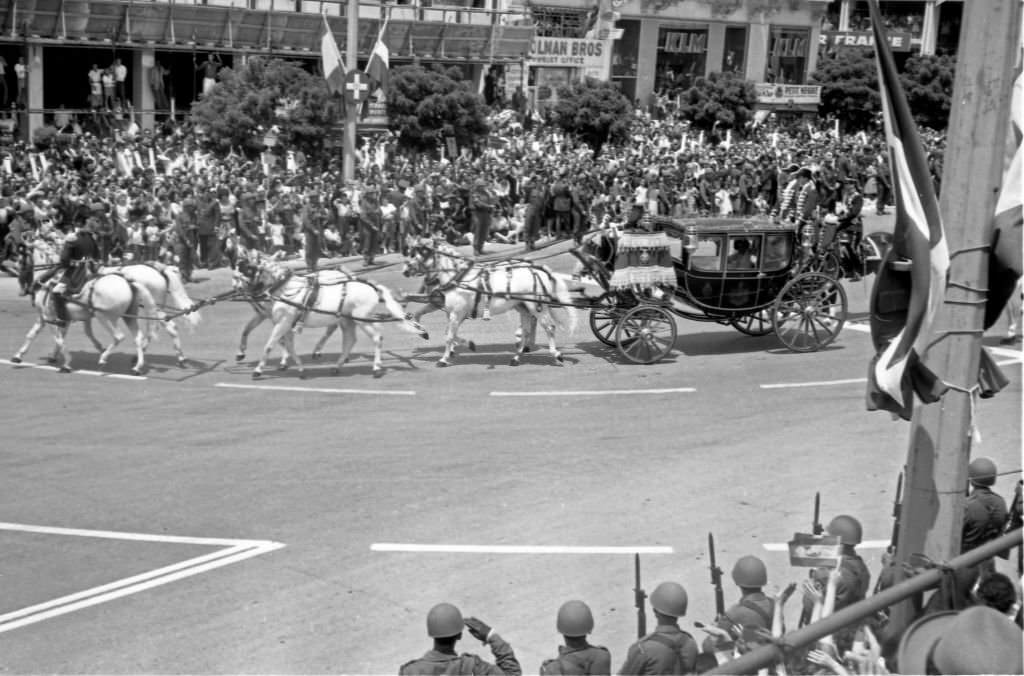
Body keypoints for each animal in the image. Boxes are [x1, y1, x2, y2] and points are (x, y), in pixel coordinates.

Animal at [12, 272, 159, 374]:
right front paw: (18, 356)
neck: (45, 288)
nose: (22, 291)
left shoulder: (50, 320)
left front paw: (67, 363)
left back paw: (104, 358)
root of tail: (128, 282)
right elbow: (32, 335)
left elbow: (59, 340)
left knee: (118, 336)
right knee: (138, 338)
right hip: (128, 317)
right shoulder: (53, 319)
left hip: (104, 317)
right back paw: (137, 367)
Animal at [234, 255, 428, 376]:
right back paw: (337, 365)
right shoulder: (284, 323)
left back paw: (376, 368)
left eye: (246, 270)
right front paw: (298, 367)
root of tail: (371, 286)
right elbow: (286, 345)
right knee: (350, 340)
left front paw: (258, 370)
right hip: (348, 319)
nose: (238, 291)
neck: (286, 289)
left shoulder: (283, 322)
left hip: (361, 318)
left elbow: (269, 345)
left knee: (377, 337)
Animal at [401, 237, 577, 364]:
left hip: (535, 305)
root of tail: (538, 271)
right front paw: (463, 345)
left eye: (422, 251)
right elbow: (449, 333)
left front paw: (443, 359)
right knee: (527, 330)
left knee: (549, 327)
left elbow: (449, 335)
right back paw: (516, 357)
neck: (458, 277)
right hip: (523, 307)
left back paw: (556, 354)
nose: (405, 270)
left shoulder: (456, 312)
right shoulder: (451, 311)